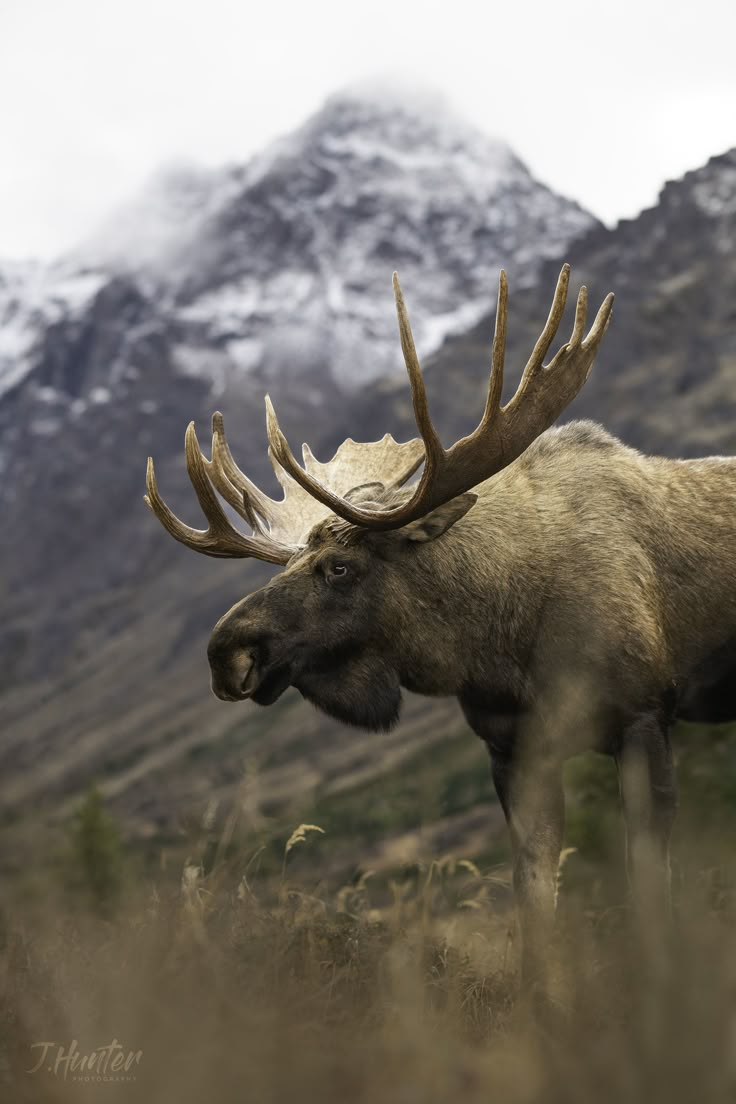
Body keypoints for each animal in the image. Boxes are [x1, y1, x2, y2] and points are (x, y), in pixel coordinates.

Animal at [145, 267, 736, 984]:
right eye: (295, 561)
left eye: (340, 567)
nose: (226, 652)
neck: (500, 638)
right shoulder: (512, 748)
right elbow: (533, 900)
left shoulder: (644, 715)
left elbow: (650, 890)